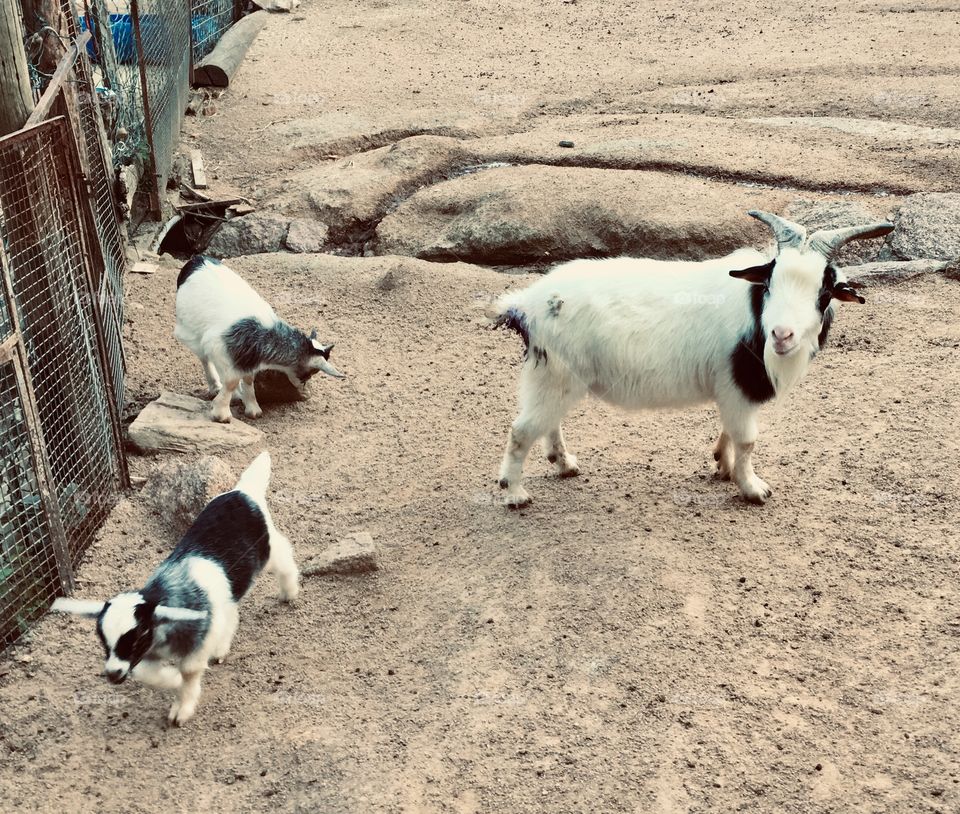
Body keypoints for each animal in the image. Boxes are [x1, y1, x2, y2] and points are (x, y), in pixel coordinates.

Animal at [496, 215, 892, 510]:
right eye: (769, 285)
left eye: (823, 293)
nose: (782, 335)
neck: (755, 312)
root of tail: (527, 302)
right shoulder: (738, 387)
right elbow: (748, 440)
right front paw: (753, 488)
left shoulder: (731, 391)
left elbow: (731, 431)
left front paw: (723, 465)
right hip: (555, 375)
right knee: (521, 431)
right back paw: (514, 493)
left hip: (557, 378)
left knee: (548, 423)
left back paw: (564, 464)